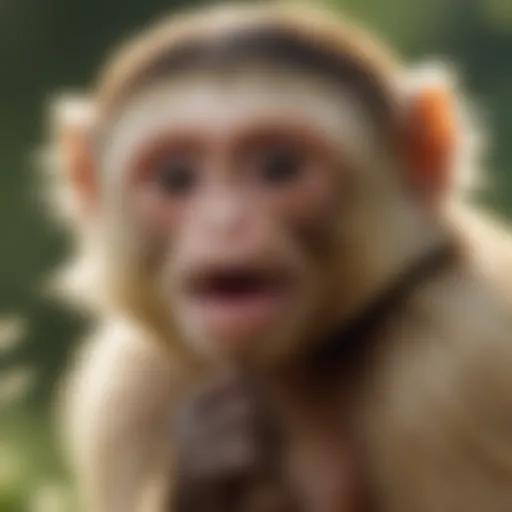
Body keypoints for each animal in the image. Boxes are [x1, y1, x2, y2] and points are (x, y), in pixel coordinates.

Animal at [45, 2, 512, 510]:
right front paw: (203, 475)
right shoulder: (121, 386)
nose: (225, 222)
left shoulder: (460, 358)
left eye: (279, 166)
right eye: (175, 177)